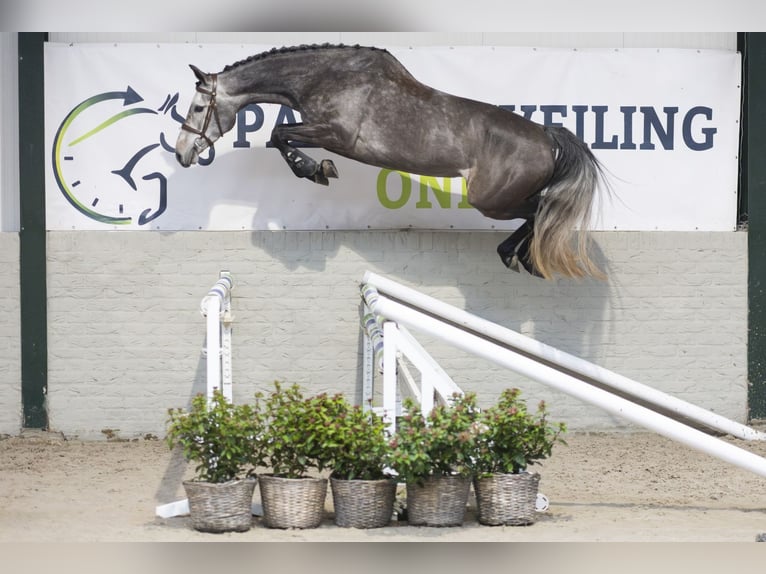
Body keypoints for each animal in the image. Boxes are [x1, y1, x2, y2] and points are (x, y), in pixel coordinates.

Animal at [175, 43, 606, 279]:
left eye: (197, 108)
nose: (182, 154)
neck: (325, 77)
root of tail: (546, 135)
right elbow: (278, 136)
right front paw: (317, 170)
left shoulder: (336, 135)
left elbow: (279, 135)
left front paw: (316, 171)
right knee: (541, 212)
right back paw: (524, 259)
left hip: (491, 201)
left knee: (542, 210)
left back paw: (519, 257)